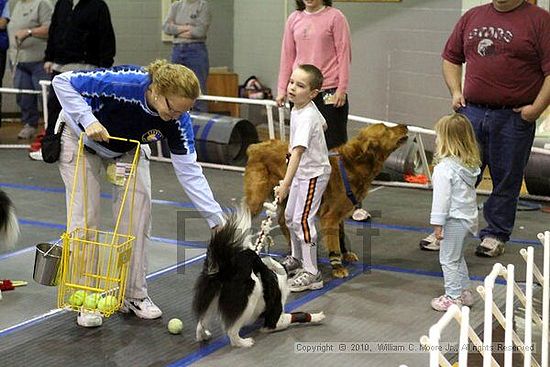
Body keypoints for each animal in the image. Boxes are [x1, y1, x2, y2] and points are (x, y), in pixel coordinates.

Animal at [194, 208, 326, 350]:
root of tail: (225, 270)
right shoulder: (274, 321)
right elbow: (299, 314)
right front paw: (317, 316)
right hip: (249, 299)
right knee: (231, 332)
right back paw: (244, 342)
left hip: (210, 299)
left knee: (201, 321)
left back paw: (203, 335)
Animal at [244, 123, 408, 278]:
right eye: (386, 129)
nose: (405, 125)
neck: (353, 164)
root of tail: (256, 146)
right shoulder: (330, 217)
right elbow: (334, 243)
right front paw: (338, 267)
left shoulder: (339, 215)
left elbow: (340, 237)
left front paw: (346, 254)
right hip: (257, 199)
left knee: (284, 221)